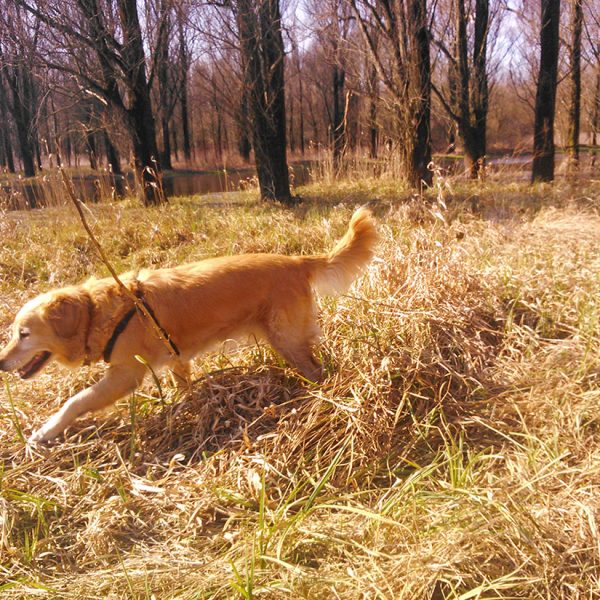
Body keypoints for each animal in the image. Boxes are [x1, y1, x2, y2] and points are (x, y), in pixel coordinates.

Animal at [0, 209, 378, 442]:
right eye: (14, 334)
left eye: (24, 334)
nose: (1, 363)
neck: (98, 311)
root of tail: (296, 261)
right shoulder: (176, 358)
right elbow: (183, 386)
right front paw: (187, 407)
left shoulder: (125, 375)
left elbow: (76, 402)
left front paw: (46, 431)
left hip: (287, 339)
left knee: (316, 369)